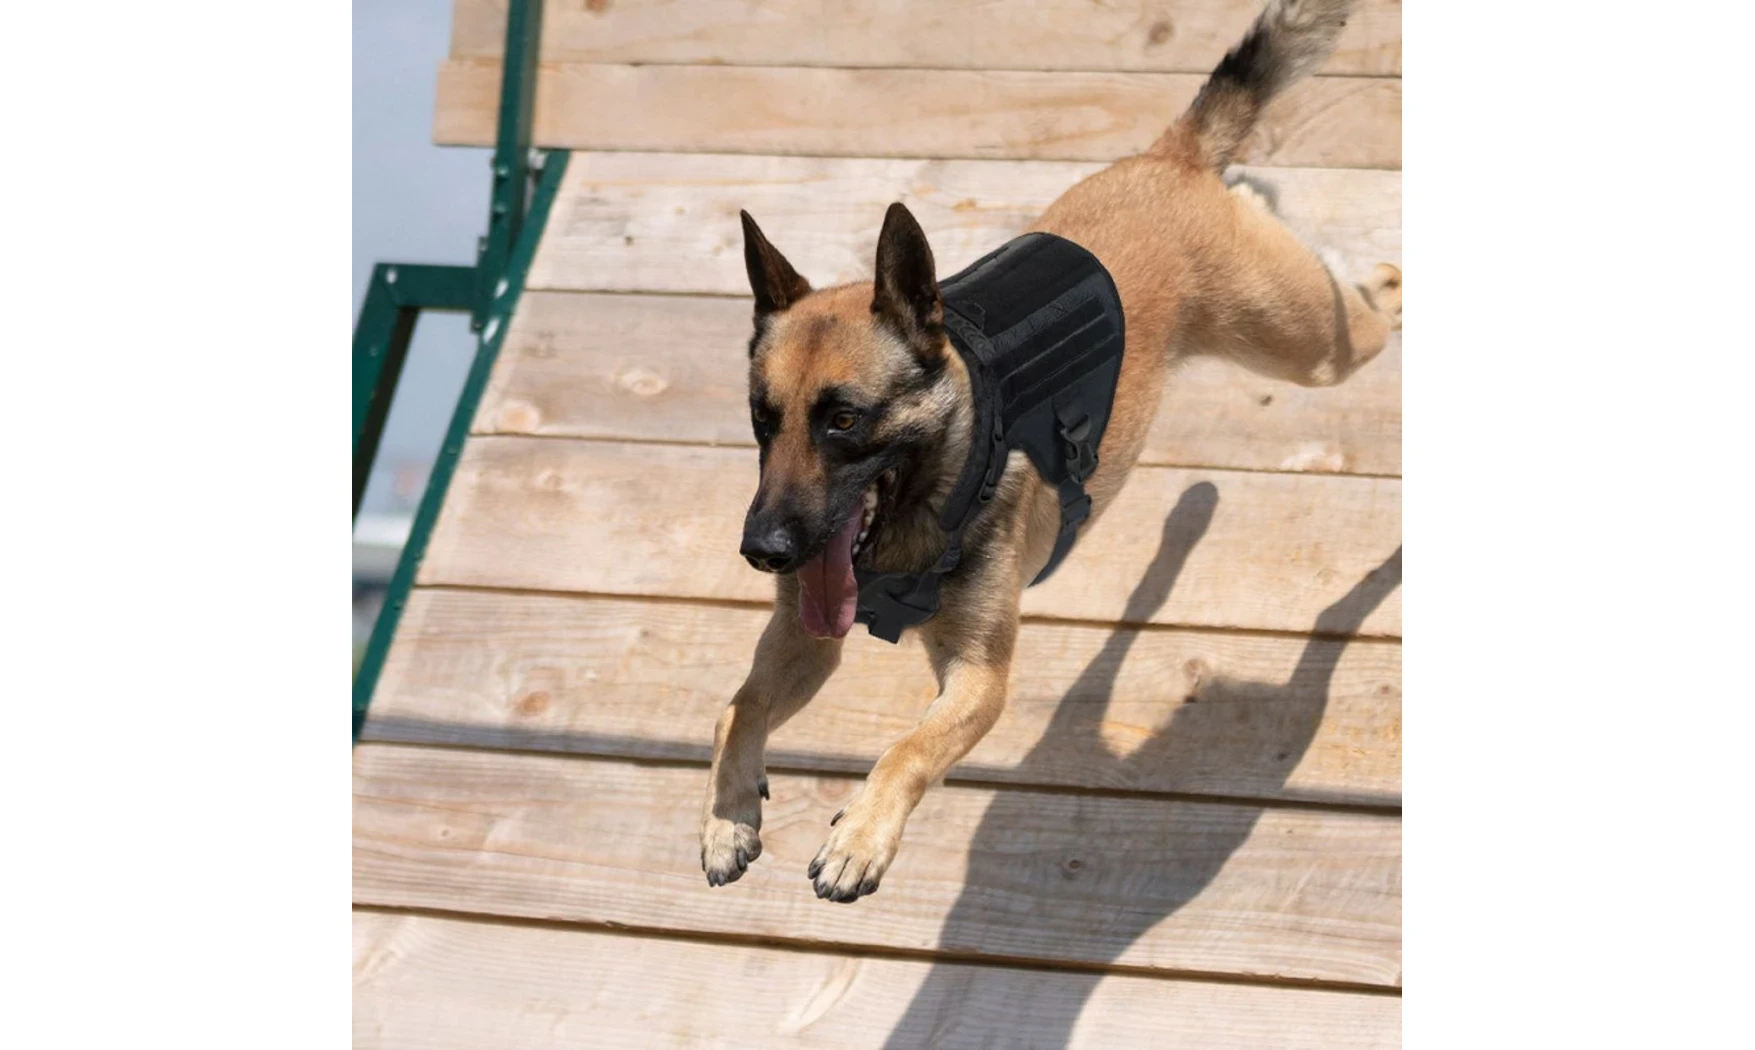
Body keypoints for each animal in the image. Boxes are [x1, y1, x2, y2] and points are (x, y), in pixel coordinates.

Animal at [701, 0, 1400, 902]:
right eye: (762, 419)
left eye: (844, 421)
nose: (762, 551)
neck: (937, 481)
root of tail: (1167, 158)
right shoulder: (807, 638)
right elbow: (737, 709)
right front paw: (726, 816)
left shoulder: (978, 680)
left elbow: (908, 749)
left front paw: (861, 834)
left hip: (1307, 350)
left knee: (1378, 298)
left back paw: (1382, 283)